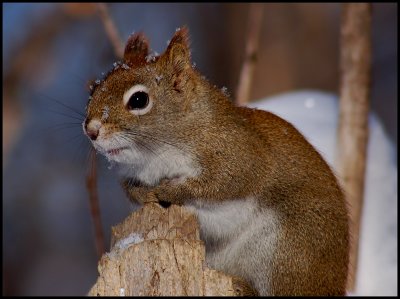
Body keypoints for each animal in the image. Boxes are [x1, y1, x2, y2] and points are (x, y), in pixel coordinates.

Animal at [83, 27, 348, 296]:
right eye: (93, 91)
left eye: (138, 100)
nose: (91, 130)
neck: (156, 156)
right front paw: (142, 193)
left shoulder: (241, 155)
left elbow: (222, 183)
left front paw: (171, 190)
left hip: (290, 253)